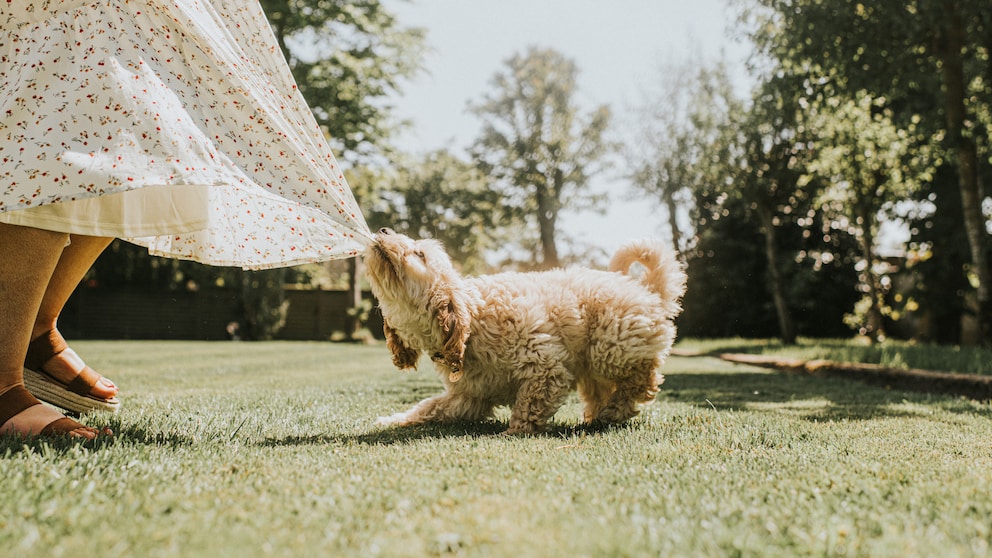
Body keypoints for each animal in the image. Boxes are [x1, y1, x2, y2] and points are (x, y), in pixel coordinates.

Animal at [366, 229, 688, 438]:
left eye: (419, 253)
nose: (382, 229)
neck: (473, 323)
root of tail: (649, 291)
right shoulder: (468, 397)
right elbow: (429, 407)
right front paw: (393, 419)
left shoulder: (546, 368)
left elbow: (529, 404)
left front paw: (513, 432)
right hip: (594, 368)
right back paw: (600, 416)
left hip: (610, 348)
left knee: (644, 380)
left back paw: (615, 410)